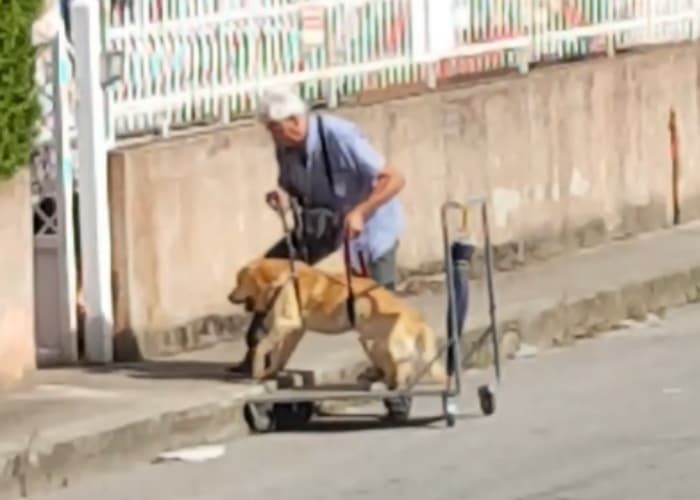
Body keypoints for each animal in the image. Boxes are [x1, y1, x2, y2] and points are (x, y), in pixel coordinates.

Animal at [231, 86, 410, 418]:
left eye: (238, 282)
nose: (228, 296)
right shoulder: (292, 324)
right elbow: (276, 350)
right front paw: (269, 371)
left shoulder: (287, 323)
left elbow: (265, 347)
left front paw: (259, 370)